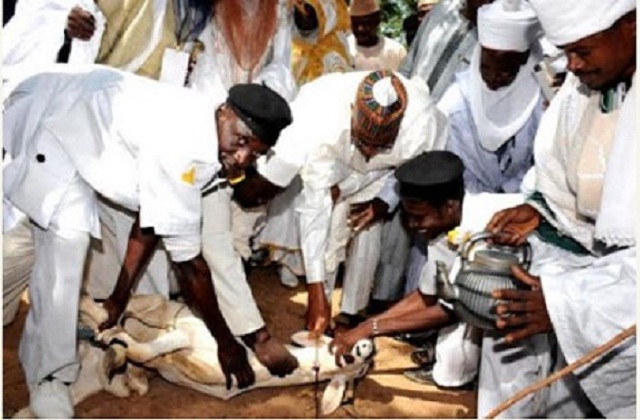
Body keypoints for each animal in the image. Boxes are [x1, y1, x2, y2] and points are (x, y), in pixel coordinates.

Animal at [15, 294, 376, 418]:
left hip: (87, 382)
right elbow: (152, 345)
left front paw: (122, 351)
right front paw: (119, 341)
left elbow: (146, 353)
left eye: (360, 372)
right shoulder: (189, 332)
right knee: (103, 306)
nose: (368, 346)